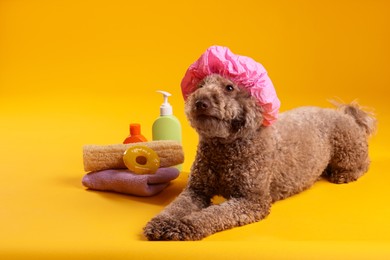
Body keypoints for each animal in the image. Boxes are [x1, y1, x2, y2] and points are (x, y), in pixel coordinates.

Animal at [143, 74, 374, 241]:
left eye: (229, 88)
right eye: (200, 85)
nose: (200, 102)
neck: (225, 148)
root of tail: (346, 114)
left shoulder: (251, 201)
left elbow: (212, 215)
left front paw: (185, 226)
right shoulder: (196, 190)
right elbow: (175, 207)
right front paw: (162, 223)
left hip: (346, 146)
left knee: (363, 163)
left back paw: (344, 174)